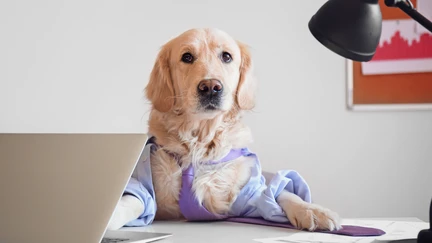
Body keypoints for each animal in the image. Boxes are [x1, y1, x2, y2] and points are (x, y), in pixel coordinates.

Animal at [107, 27, 340, 231]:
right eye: (187, 57)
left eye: (226, 56)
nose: (211, 87)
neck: (201, 142)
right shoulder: (148, 187)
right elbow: (133, 199)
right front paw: (111, 215)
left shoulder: (248, 194)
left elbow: (280, 193)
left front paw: (313, 211)